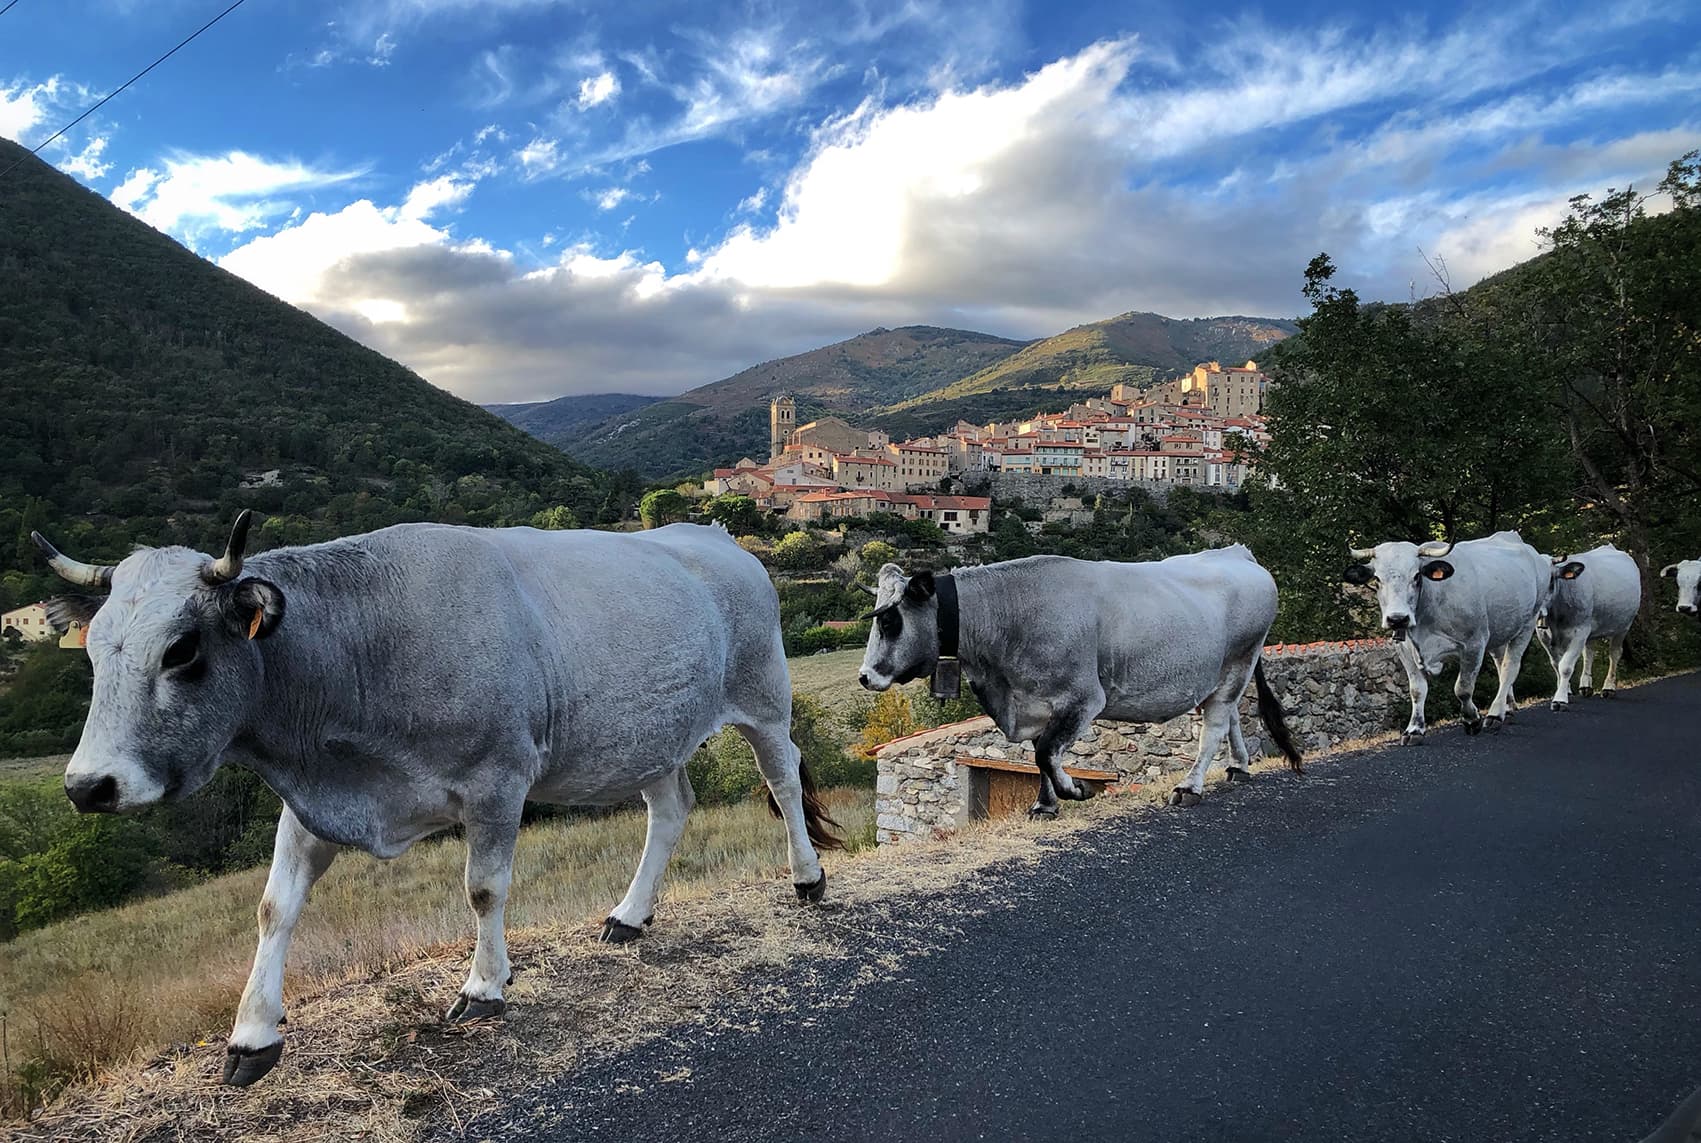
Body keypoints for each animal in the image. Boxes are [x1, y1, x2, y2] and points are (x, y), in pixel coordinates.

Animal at [33, 512, 839, 1087]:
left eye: (182, 649)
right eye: (93, 648)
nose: (88, 785)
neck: (363, 645)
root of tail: (714, 536)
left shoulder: (498, 779)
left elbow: (484, 888)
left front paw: (485, 986)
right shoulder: (312, 799)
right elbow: (274, 907)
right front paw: (252, 1034)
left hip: (764, 700)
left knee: (782, 778)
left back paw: (807, 878)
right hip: (649, 733)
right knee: (669, 810)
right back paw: (628, 915)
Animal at [855, 547, 1302, 813]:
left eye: (890, 621)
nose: (865, 677)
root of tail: (1238, 553)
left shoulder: (1083, 698)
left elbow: (1045, 754)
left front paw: (1073, 791)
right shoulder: (1035, 702)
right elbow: (1038, 755)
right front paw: (1044, 804)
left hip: (1238, 662)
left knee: (1214, 726)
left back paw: (1192, 786)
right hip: (1223, 674)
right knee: (1231, 716)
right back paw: (1239, 766)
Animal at [1341, 530, 1549, 744]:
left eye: (1416, 576)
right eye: (1377, 579)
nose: (1397, 619)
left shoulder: (1474, 644)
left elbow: (1463, 688)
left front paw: (1472, 719)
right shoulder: (1404, 649)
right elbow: (1417, 690)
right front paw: (1414, 729)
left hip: (1527, 625)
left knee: (1510, 667)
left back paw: (1495, 714)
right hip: (1500, 631)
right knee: (1501, 664)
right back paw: (1508, 707)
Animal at [1537, 544, 1641, 708]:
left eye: (1550, 579)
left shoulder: (1579, 631)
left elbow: (1565, 667)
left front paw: (1560, 699)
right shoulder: (1544, 636)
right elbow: (1556, 665)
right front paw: (1565, 690)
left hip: (1623, 626)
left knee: (1614, 654)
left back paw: (1608, 687)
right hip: (1591, 630)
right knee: (1589, 653)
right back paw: (1586, 685)